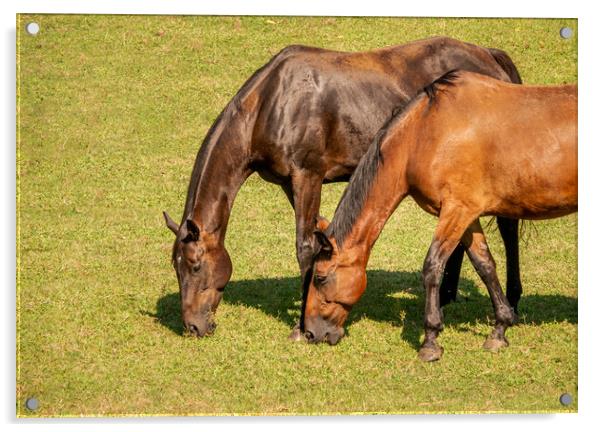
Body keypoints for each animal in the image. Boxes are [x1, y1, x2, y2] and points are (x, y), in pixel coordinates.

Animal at [162, 37, 524, 340]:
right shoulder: (290, 184)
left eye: (195, 266)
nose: (193, 326)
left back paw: (512, 300)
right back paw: (448, 295)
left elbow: (305, 246)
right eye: (176, 268)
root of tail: (490, 56)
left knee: (508, 228)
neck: (271, 102)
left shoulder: (308, 176)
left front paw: (299, 327)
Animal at [302, 71, 576, 362]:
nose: (310, 333)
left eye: (320, 278)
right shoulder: (468, 215)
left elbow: (432, 266)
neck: (424, 134)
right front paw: (500, 328)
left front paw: (430, 340)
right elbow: (485, 265)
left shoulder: (456, 211)